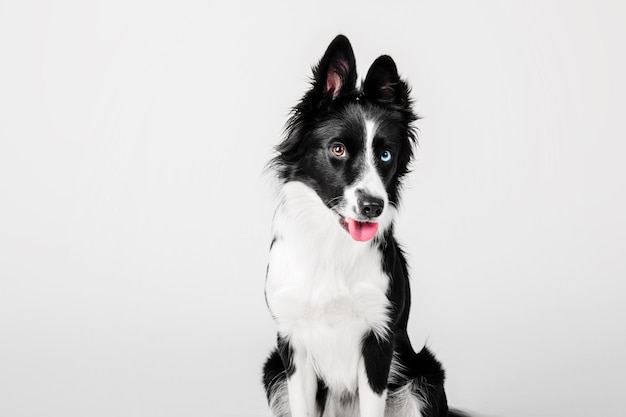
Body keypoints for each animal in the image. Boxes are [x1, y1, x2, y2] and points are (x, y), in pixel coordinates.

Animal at [260, 35, 464, 416]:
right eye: (338, 149)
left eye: (385, 155)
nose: (373, 206)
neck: (332, 244)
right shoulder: (293, 346)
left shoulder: (378, 341)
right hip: (273, 369)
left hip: (424, 375)